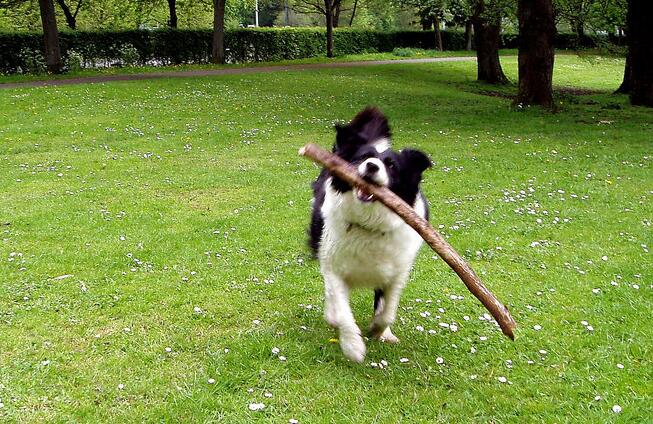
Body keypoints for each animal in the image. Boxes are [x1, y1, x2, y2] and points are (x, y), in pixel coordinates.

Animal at [308, 107, 431, 363]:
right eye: (362, 158)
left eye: (392, 165)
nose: (372, 166)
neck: (369, 224)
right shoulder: (335, 267)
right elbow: (343, 311)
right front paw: (353, 346)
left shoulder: (397, 271)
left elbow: (387, 310)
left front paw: (379, 330)